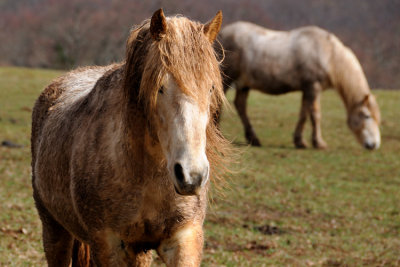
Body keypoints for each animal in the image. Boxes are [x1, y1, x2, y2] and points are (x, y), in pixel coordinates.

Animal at [31, 8, 230, 267]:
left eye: (211, 88)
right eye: (160, 87)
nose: (192, 176)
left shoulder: (184, 238)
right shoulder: (108, 244)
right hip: (54, 230)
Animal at [219, 20, 382, 150]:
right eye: (367, 116)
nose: (373, 145)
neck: (328, 55)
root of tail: (222, 32)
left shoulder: (308, 89)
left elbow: (305, 113)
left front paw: (301, 141)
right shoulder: (313, 87)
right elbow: (315, 115)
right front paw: (317, 143)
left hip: (244, 84)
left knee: (240, 105)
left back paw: (253, 139)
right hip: (226, 80)